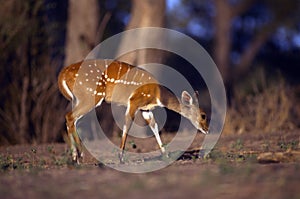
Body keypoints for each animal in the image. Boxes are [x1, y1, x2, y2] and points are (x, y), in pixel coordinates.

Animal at [58, 59, 209, 163]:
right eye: (203, 115)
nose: (207, 129)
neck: (158, 96)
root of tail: (62, 75)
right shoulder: (134, 101)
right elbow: (127, 125)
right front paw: (121, 158)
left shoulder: (145, 109)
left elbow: (154, 127)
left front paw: (165, 155)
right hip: (91, 95)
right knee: (70, 117)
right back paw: (80, 156)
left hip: (78, 99)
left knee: (70, 119)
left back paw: (75, 157)